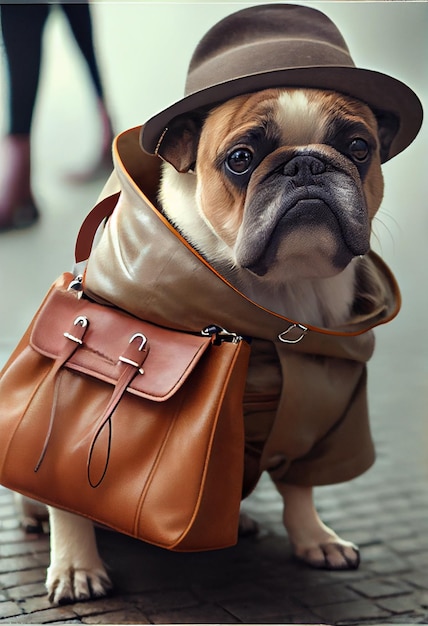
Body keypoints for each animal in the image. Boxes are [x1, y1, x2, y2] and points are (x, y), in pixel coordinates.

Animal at [41, 85, 394, 604]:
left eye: (358, 147)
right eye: (241, 159)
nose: (306, 164)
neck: (283, 292)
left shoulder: (321, 414)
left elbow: (300, 485)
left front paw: (315, 537)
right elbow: (64, 498)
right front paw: (75, 566)